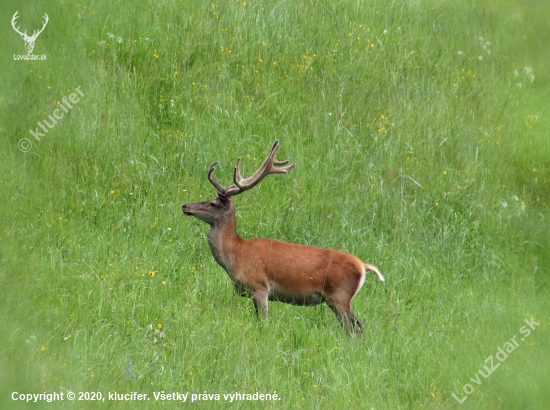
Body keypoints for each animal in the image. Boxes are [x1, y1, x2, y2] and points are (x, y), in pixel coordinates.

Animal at [181, 141, 384, 334]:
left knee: (353, 328)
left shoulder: (260, 287)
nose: (185, 206)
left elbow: (263, 323)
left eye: (212, 203)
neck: (236, 254)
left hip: (339, 296)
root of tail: (363, 266)